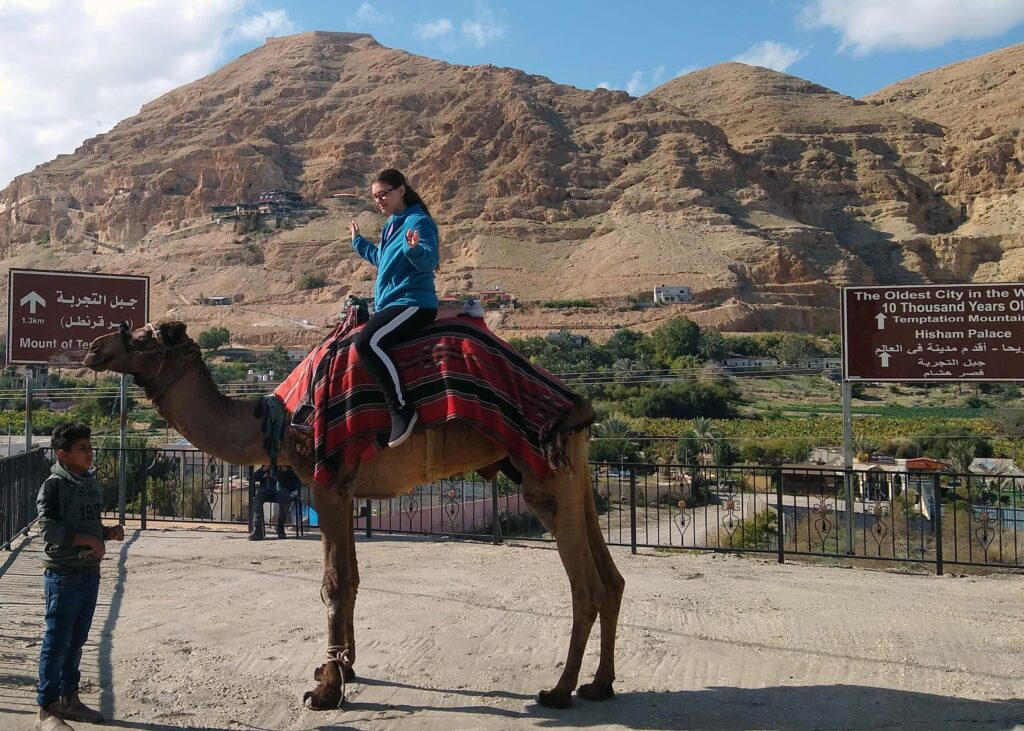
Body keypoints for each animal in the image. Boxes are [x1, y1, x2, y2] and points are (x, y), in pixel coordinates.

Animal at [83, 321, 622, 708]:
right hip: (570, 473)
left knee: (585, 586)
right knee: (610, 578)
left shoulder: (327, 485)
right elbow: (354, 579)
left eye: (142, 337)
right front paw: (340, 670)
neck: (278, 422)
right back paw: (599, 685)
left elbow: (335, 582)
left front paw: (326, 691)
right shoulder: (342, 491)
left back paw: (559, 692)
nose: (93, 346)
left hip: (542, 475)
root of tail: (578, 406)